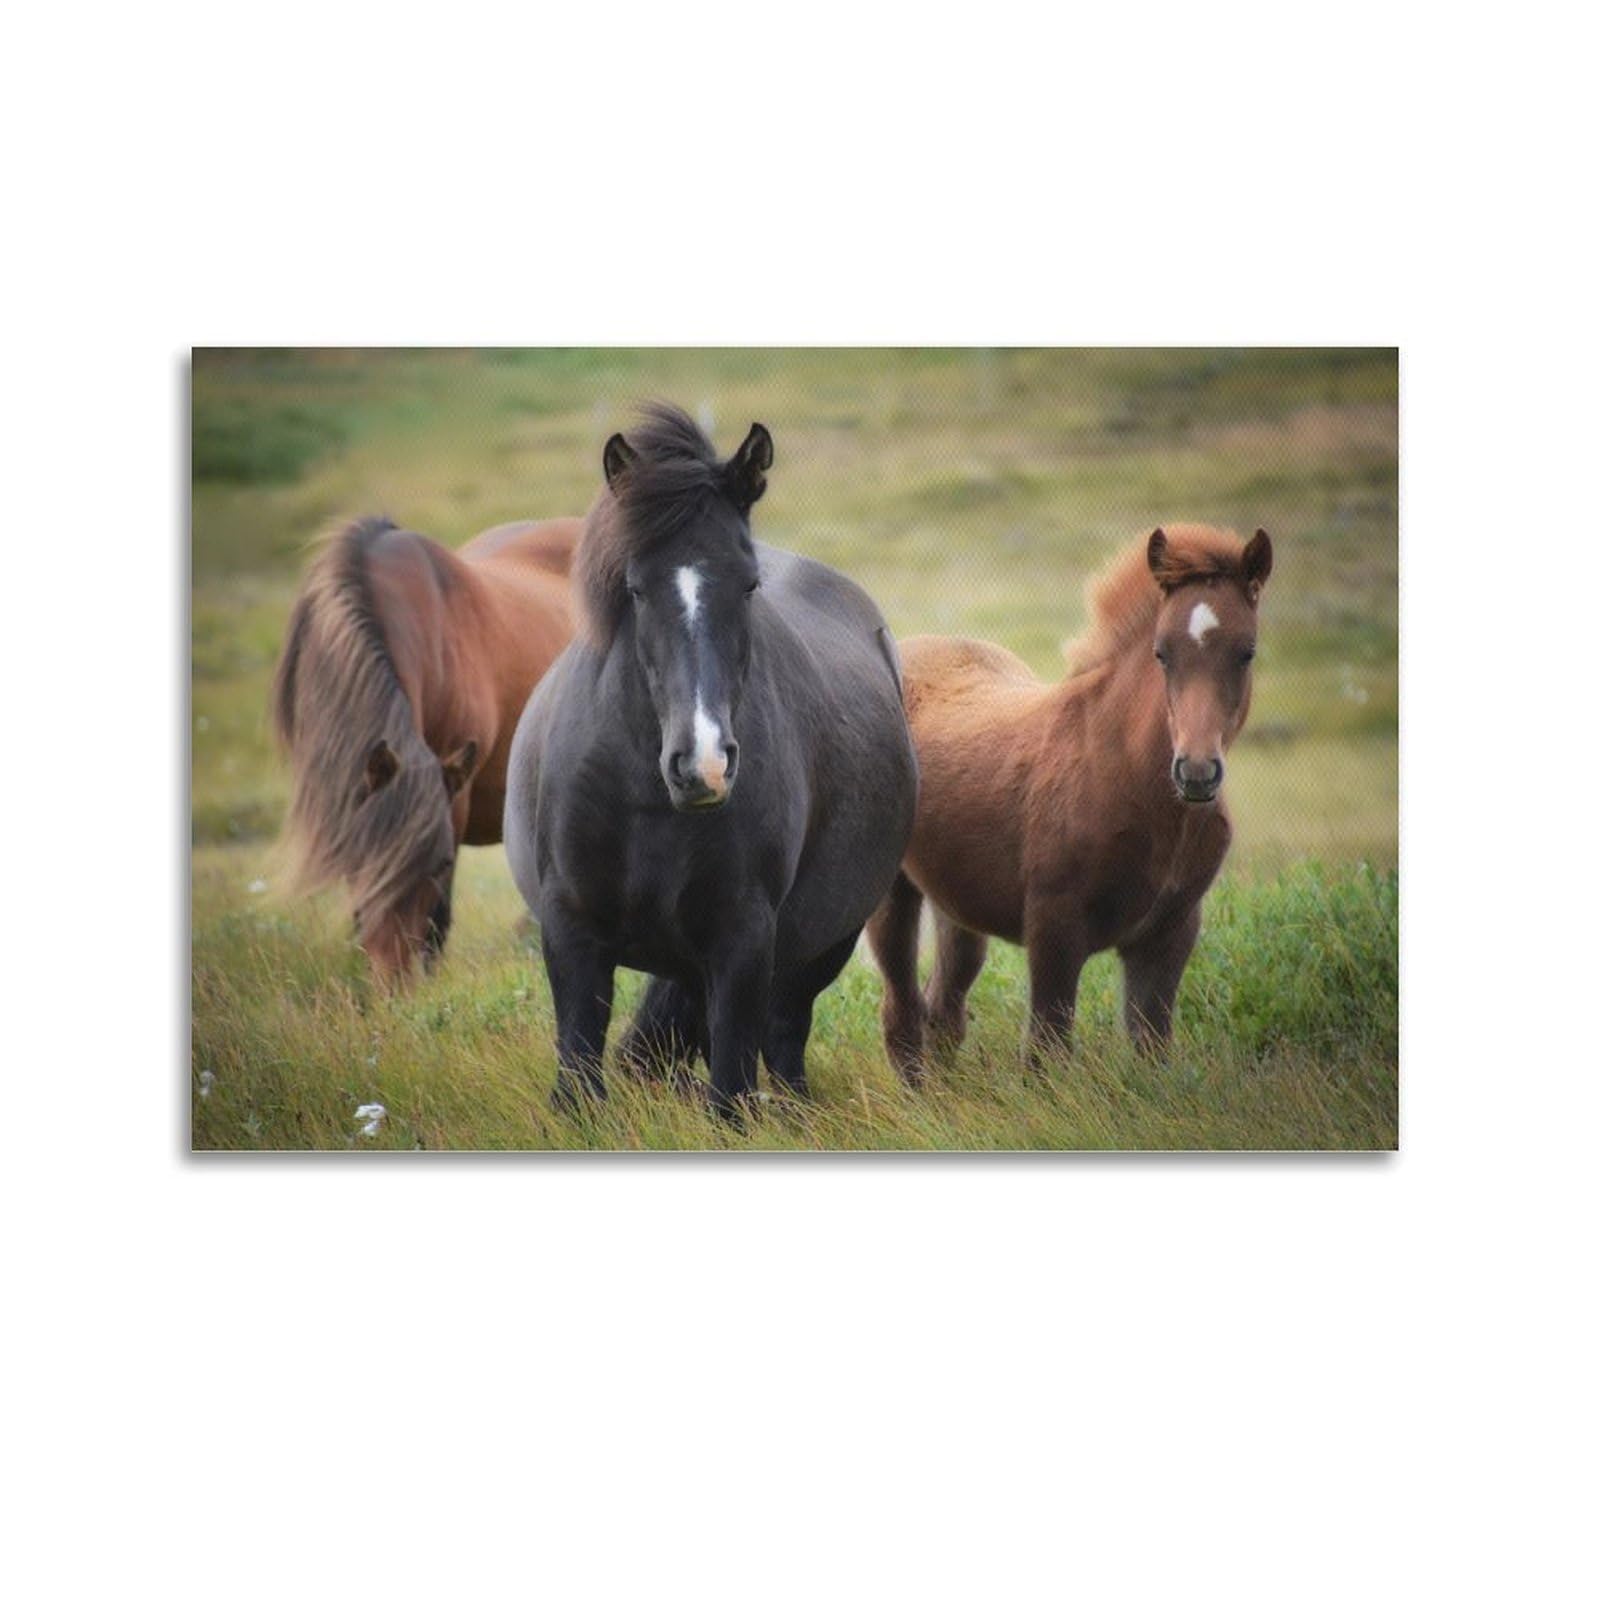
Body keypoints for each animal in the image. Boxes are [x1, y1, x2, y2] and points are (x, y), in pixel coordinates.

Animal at [504, 405, 918, 1118]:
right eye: (635, 588)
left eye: (748, 585)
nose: (704, 765)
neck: (644, 799)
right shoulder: (571, 930)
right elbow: (579, 1077)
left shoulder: (743, 940)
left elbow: (730, 1090)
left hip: (823, 944)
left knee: (783, 1037)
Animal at [865, 523, 1272, 1078]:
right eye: (1161, 652)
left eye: (1246, 651)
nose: (1195, 772)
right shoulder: (1054, 928)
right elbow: (1046, 1050)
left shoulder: (1170, 932)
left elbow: (1151, 1048)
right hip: (892, 893)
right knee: (902, 1013)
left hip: (957, 901)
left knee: (943, 1009)